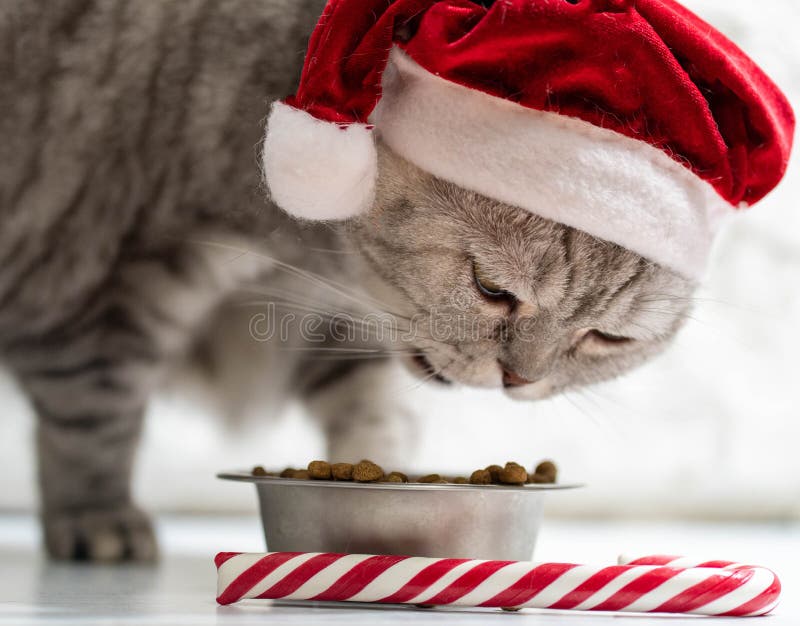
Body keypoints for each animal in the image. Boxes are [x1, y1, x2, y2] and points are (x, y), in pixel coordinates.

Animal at [0, 0, 692, 560]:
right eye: (492, 289)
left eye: (607, 339)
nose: (519, 381)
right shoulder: (113, 281)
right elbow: (95, 417)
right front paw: (97, 515)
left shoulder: (337, 325)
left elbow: (373, 413)